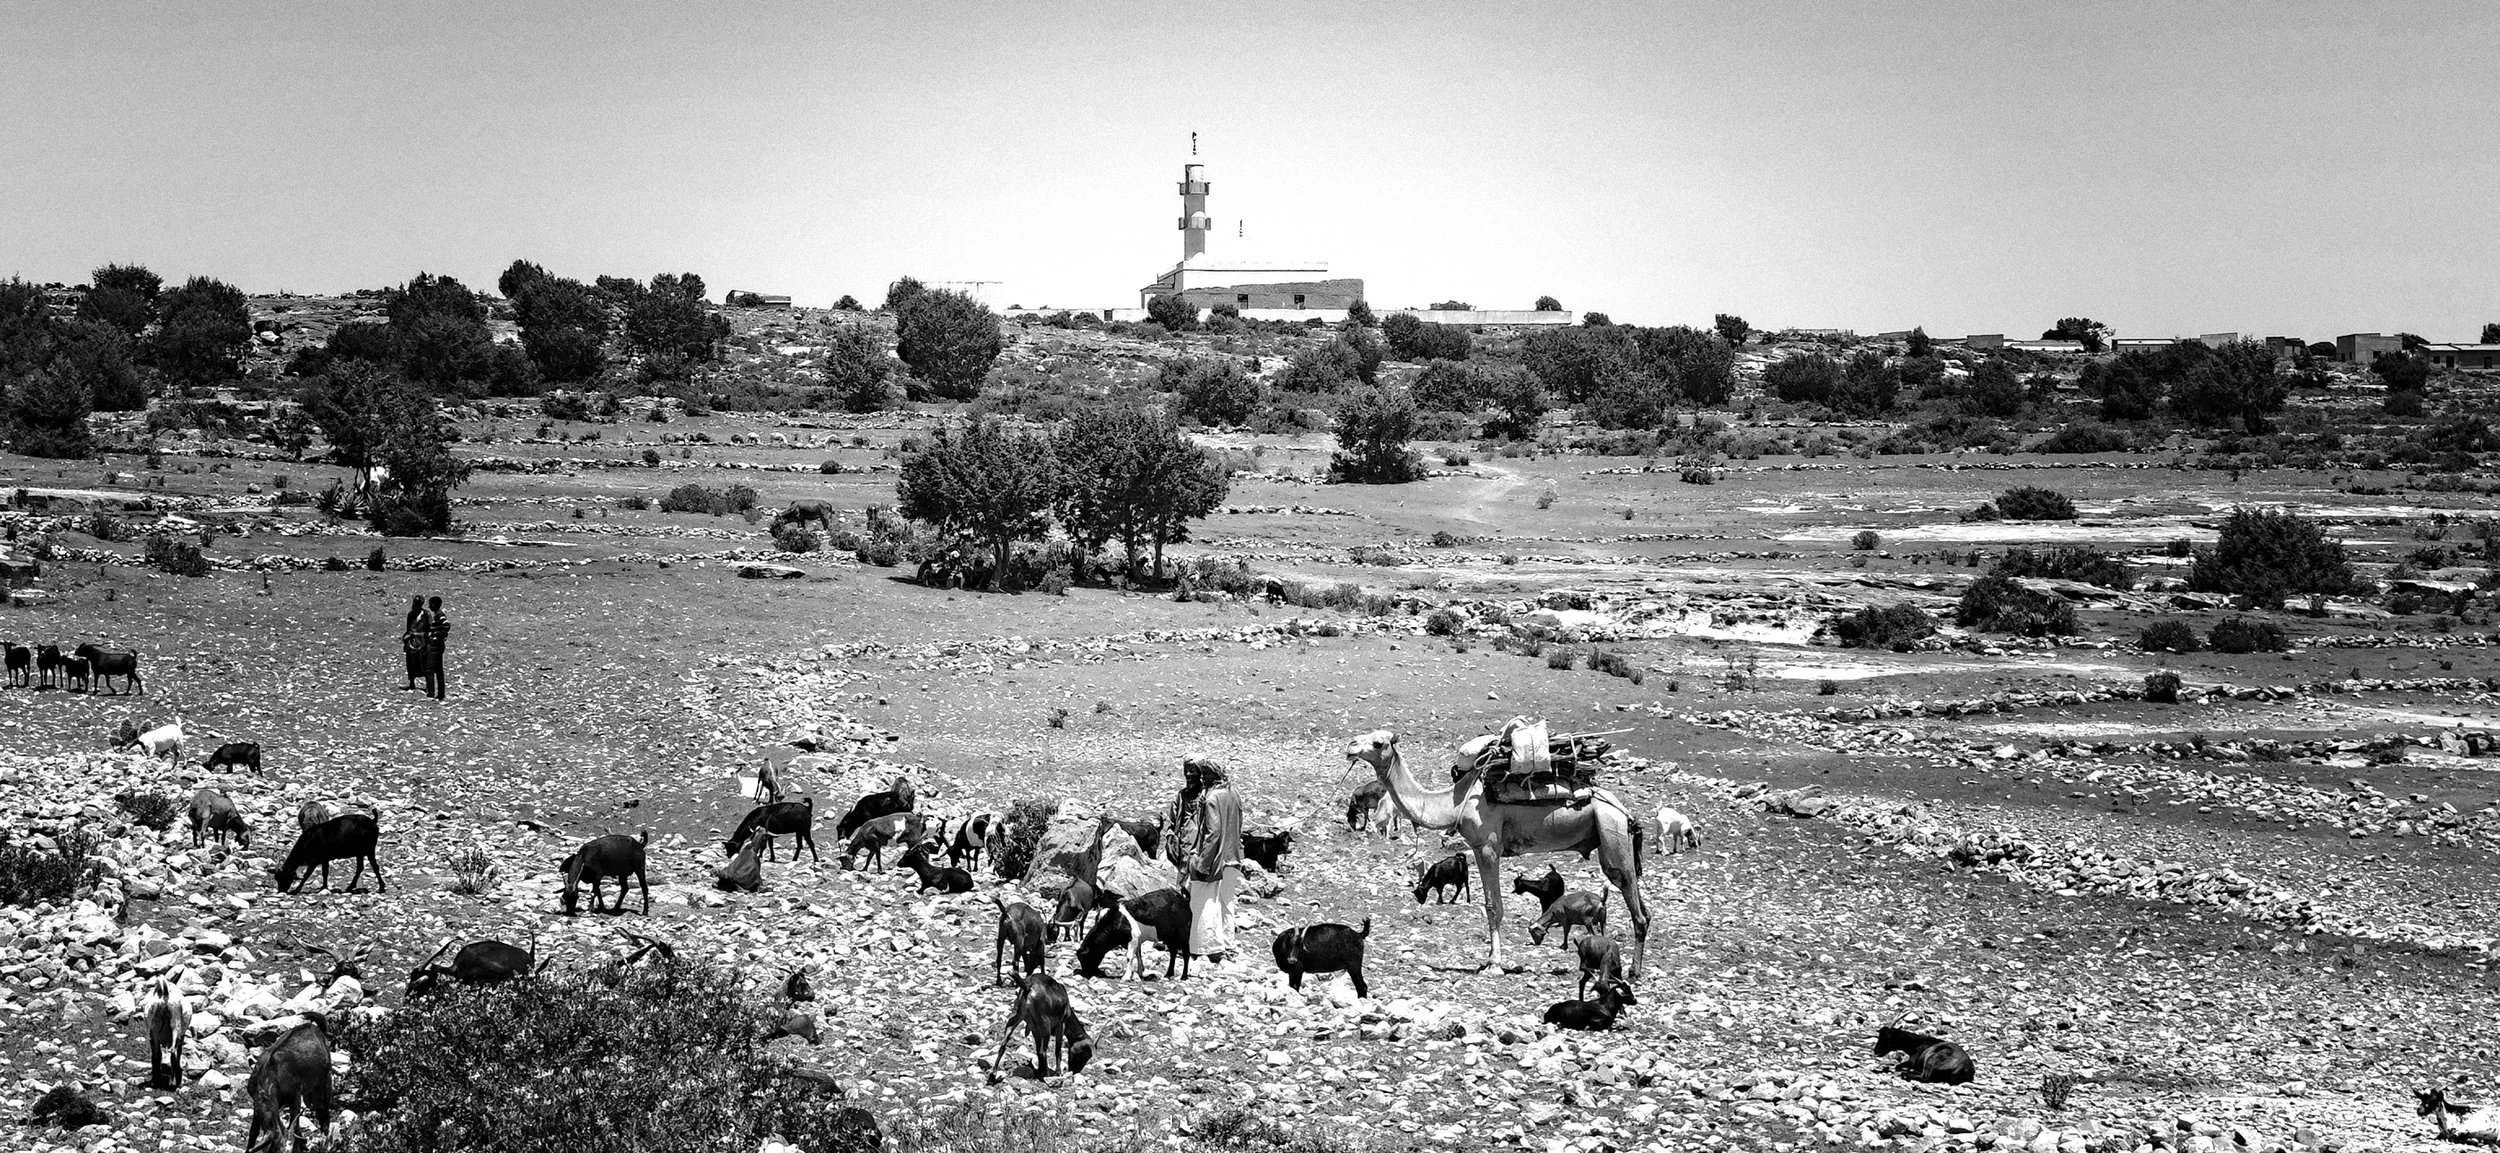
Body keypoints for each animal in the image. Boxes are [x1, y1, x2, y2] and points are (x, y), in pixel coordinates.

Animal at [243, 1018, 332, 1153]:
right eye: (276, 1149)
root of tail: (312, 1026)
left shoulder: (295, 1097)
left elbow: (295, 1125)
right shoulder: (257, 1104)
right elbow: (253, 1133)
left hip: (325, 1082)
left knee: (324, 1114)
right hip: (310, 1093)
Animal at [1344, 729, 1650, 977]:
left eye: (1378, 742)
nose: (1350, 745)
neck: (1456, 802)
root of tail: (1625, 812)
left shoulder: (1487, 847)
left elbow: (1494, 906)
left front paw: (1494, 964)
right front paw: (1491, 961)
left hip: (1611, 832)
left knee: (1632, 900)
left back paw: (1634, 971)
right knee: (1643, 907)